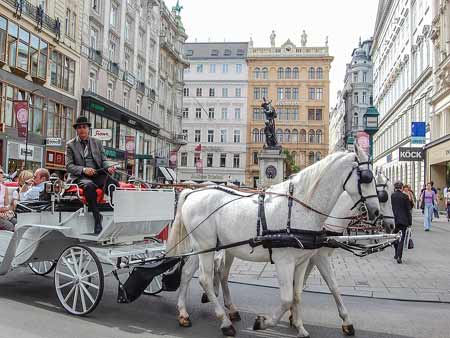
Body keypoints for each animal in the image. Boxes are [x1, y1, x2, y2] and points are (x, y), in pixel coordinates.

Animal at [167, 147, 378, 338]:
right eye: (367, 177)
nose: (375, 212)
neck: (301, 206)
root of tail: (192, 193)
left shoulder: (301, 261)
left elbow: (297, 294)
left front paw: (300, 327)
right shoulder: (285, 261)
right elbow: (286, 298)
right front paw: (263, 322)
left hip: (203, 247)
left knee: (187, 273)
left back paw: (184, 313)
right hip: (206, 247)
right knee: (205, 279)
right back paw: (225, 322)